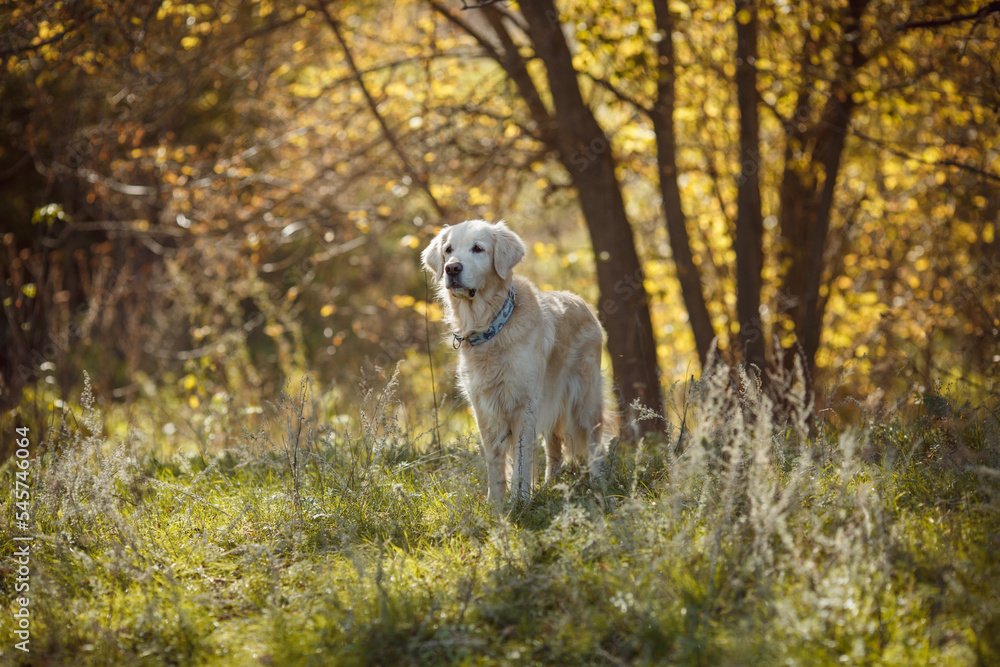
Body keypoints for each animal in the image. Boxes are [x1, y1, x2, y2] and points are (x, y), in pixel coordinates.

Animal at [418, 222, 604, 504]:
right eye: (448, 249)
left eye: (478, 248)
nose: (452, 268)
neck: (491, 328)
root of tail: (583, 303)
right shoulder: (483, 408)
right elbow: (495, 460)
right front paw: (496, 504)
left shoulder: (524, 404)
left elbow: (521, 457)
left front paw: (521, 500)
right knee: (555, 447)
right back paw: (551, 485)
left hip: (584, 401)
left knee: (595, 444)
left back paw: (601, 485)